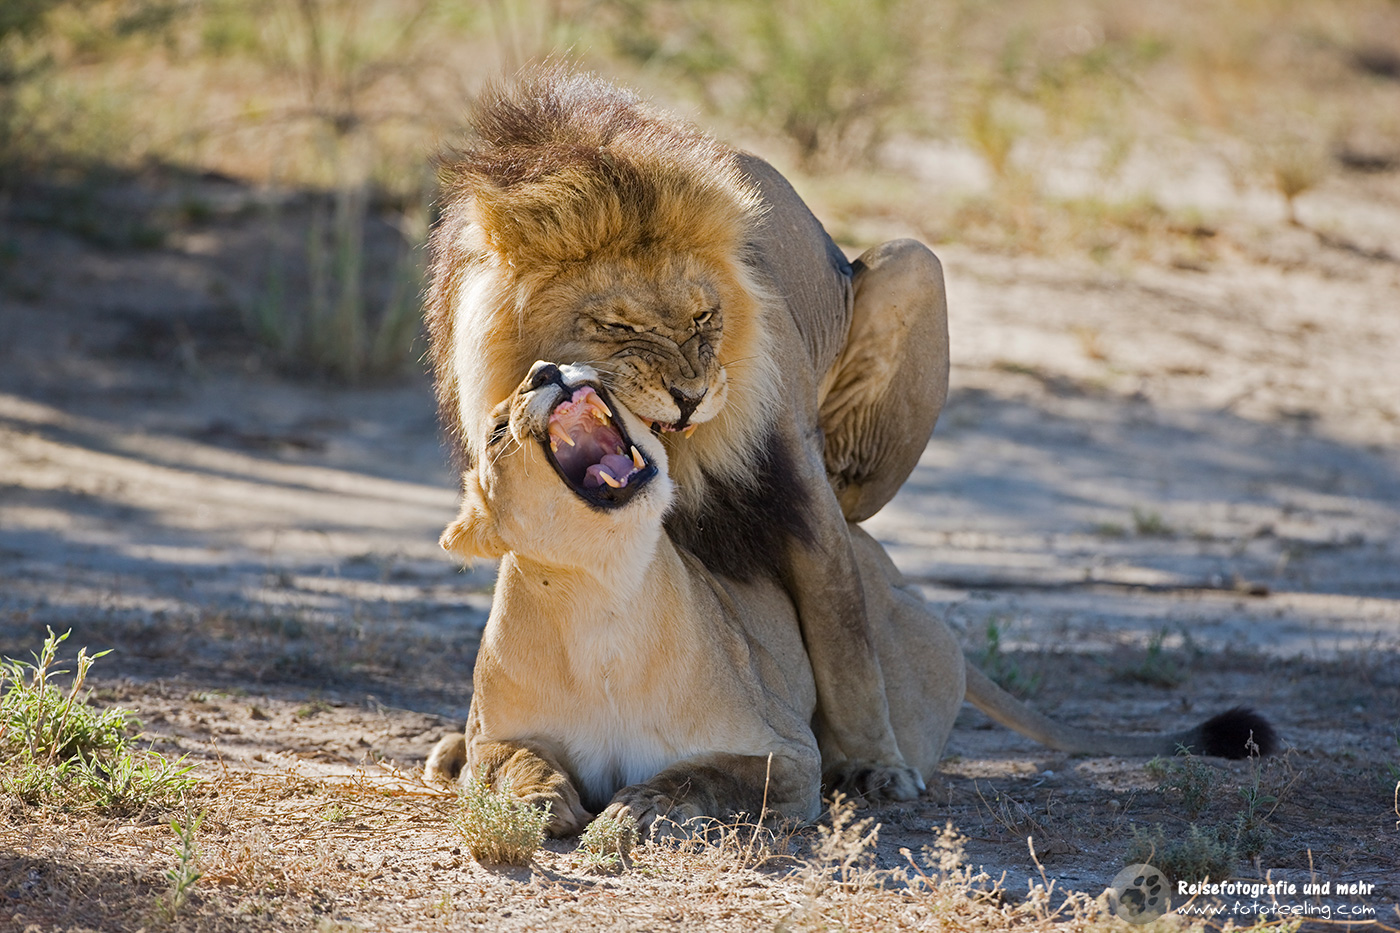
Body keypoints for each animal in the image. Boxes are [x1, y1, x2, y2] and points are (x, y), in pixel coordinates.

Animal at [425, 68, 949, 798]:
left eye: (704, 317)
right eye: (620, 326)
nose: (693, 397)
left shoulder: (796, 476)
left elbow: (845, 634)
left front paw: (875, 761)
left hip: (915, 266)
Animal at [425, 362, 1276, 835]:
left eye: (579, 364)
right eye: (495, 429)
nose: (545, 368)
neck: (601, 594)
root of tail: (898, 579)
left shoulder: (785, 752)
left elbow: (702, 776)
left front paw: (636, 810)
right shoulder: (508, 729)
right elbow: (511, 761)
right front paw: (543, 801)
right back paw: (444, 751)